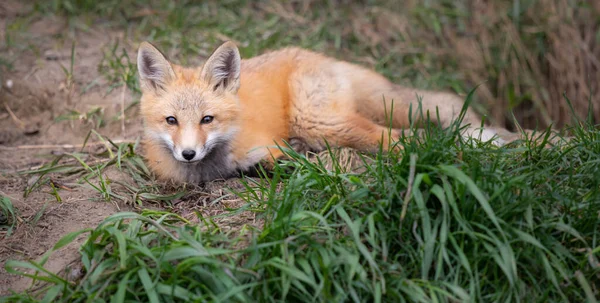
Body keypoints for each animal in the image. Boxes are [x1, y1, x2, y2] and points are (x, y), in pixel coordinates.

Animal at [138, 40, 500, 183]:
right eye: (171, 121)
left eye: (207, 119)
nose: (188, 153)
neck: (213, 169)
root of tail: (322, 57)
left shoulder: (268, 144)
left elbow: (282, 163)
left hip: (317, 121)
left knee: (399, 136)